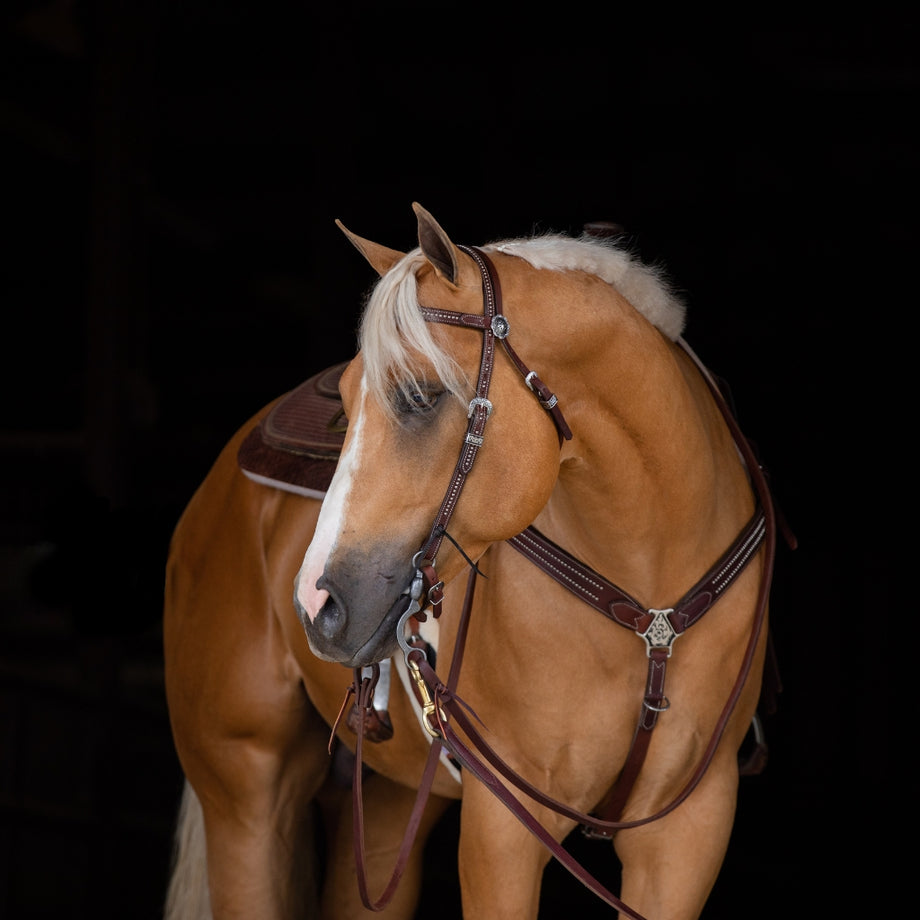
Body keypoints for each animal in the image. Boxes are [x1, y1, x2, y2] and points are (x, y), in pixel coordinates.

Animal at [163, 202, 782, 919]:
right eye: (345, 400)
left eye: (421, 396)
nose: (315, 604)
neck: (650, 603)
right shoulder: (502, 829)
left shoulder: (689, 833)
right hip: (246, 794)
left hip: (387, 805)